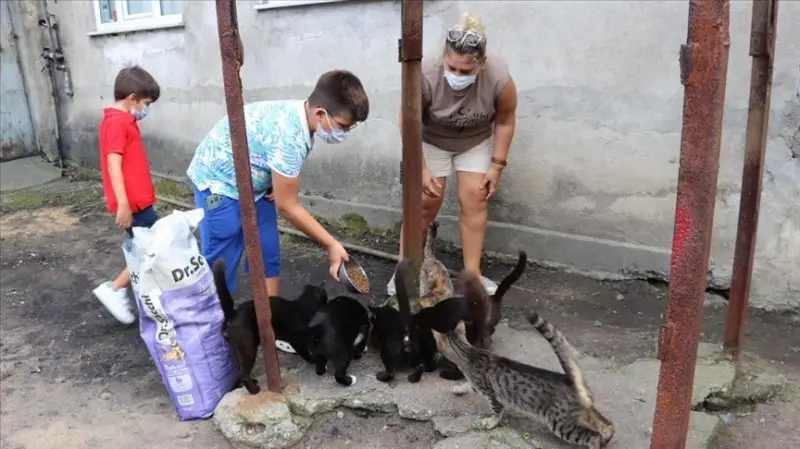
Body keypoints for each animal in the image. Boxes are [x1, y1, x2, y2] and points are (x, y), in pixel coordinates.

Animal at [212, 258, 328, 394]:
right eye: (325, 294)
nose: (327, 298)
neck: (302, 307)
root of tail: (233, 313)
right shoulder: (296, 339)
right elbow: (305, 352)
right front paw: (314, 360)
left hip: (237, 350)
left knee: (238, 370)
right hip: (248, 347)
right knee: (243, 373)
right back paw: (254, 390)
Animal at [434, 270, 616, 448]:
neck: (469, 353)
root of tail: (571, 381)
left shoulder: (492, 395)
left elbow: (496, 411)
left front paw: (489, 423)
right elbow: (467, 385)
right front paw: (458, 388)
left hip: (560, 424)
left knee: (593, 436)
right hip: (585, 411)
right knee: (607, 426)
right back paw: (606, 436)